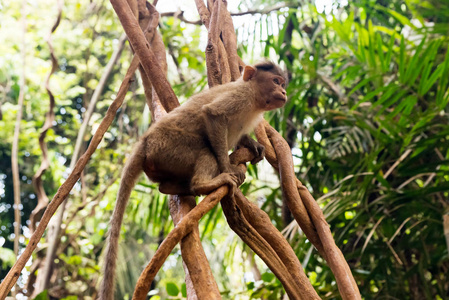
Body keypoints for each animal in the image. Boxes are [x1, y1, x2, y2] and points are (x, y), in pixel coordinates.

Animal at [98, 61, 288, 300]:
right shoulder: (239, 97)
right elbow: (213, 114)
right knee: (205, 150)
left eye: (282, 84)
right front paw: (227, 167)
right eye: (275, 81)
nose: (284, 92)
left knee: (166, 184)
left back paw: (176, 187)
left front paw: (252, 144)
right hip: (167, 147)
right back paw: (203, 184)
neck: (254, 98)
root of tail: (144, 143)